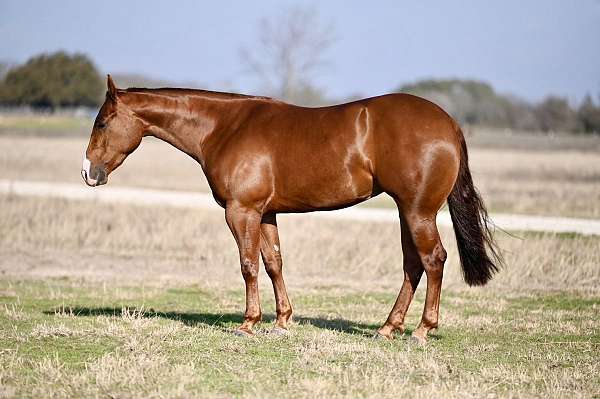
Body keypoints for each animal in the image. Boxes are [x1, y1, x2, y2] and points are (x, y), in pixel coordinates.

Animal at [82, 76, 500, 346]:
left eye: (101, 122)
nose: (88, 173)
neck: (225, 127)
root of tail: (449, 123)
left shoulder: (241, 212)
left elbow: (248, 265)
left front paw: (248, 323)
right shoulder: (265, 214)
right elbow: (273, 263)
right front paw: (282, 322)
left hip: (418, 212)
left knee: (433, 260)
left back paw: (422, 330)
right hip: (405, 212)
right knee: (413, 265)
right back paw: (388, 328)